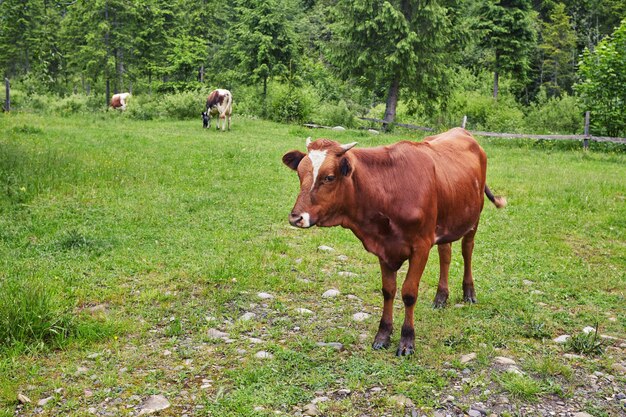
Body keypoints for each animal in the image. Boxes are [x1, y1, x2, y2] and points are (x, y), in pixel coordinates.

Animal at [284, 128, 508, 356]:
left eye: (329, 177)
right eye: (300, 174)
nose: (296, 218)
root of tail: (462, 131)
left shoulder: (421, 246)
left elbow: (409, 293)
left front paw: (407, 340)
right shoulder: (383, 247)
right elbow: (388, 291)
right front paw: (383, 335)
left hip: (473, 218)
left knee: (467, 250)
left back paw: (469, 292)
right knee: (445, 254)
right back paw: (441, 297)